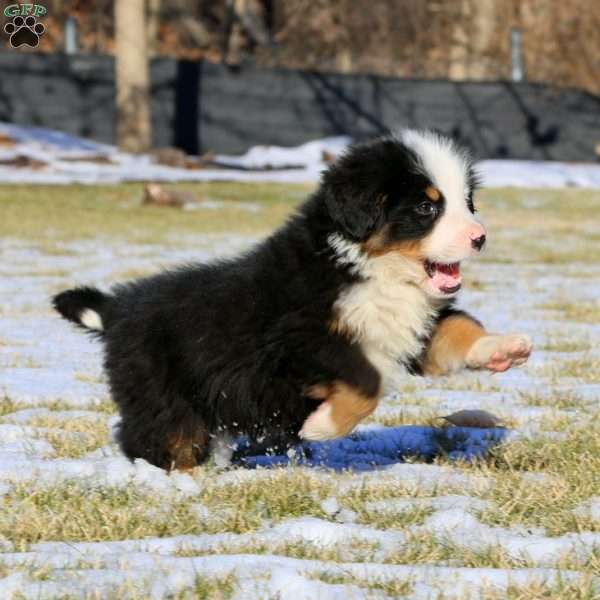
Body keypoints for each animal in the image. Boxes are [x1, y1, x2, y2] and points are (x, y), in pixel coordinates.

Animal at [54, 130, 532, 468]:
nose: (480, 238)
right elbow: (366, 381)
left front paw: (502, 349)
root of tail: (116, 309)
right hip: (162, 396)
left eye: (467, 202)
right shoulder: (300, 339)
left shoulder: (408, 330)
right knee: (157, 439)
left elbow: (456, 328)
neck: (367, 269)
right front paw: (322, 427)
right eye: (426, 208)